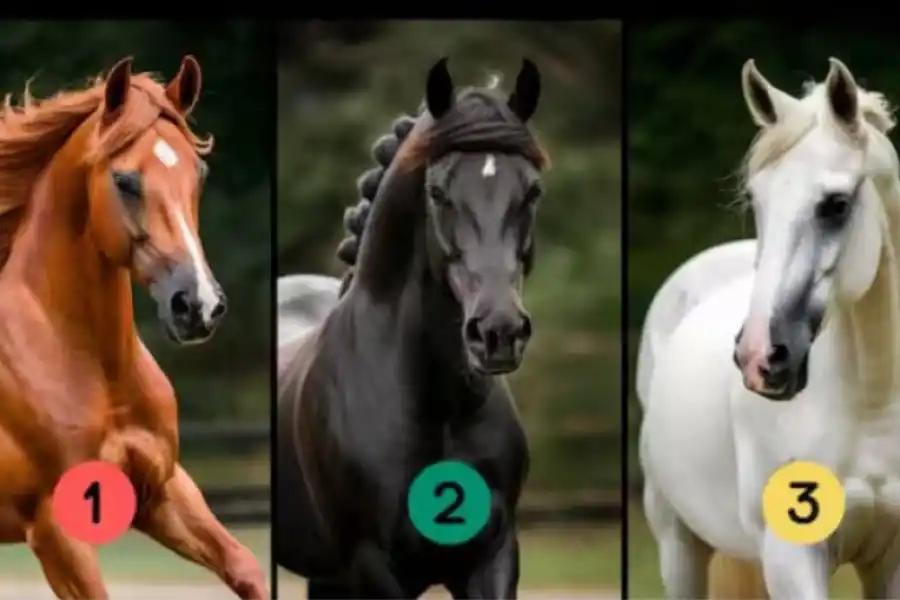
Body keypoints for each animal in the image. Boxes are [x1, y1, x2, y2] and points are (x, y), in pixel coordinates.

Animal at [0, 56, 267, 599]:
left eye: (198, 172)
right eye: (124, 180)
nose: (199, 305)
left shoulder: (162, 489)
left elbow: (246, 567)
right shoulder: (57, 531)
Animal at [276, 57, 548, 598]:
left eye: (532, 191)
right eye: (438, 192)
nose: (499, 332)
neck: (438, 407)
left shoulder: (493, 559)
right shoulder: (374, 567)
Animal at [640, 56, 900, 599]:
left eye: (836, 204)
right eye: (755, 200)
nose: (759, 358)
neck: (874, 404)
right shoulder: (791, 556)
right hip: (679, 546)